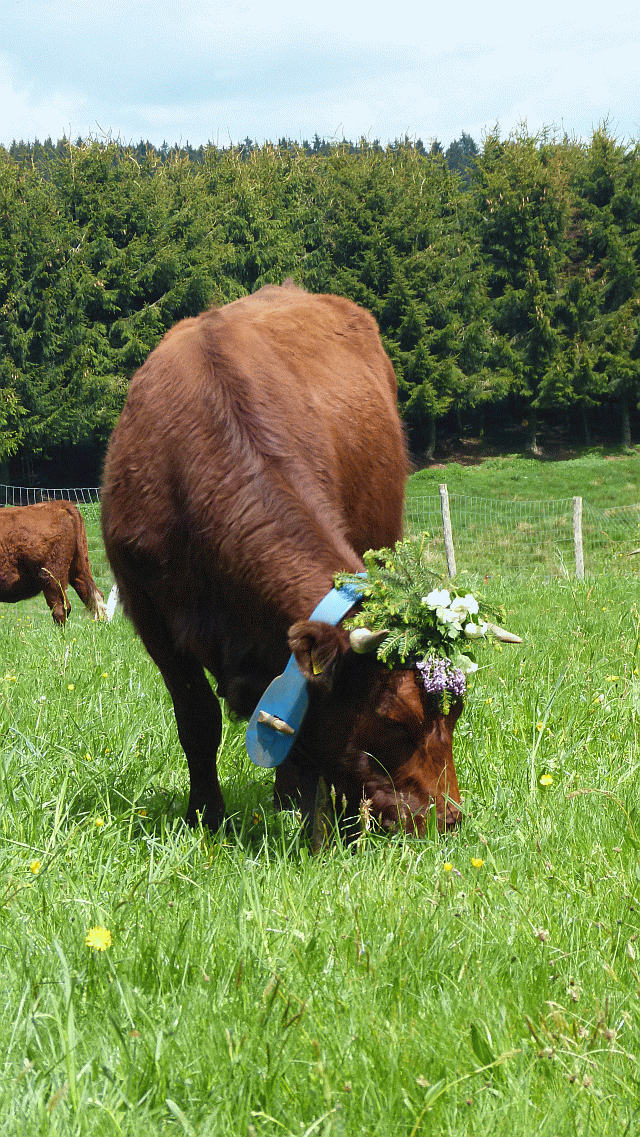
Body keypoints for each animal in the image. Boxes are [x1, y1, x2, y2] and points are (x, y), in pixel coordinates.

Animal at [100, 281, 461, 836]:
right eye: (394, 719)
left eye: (457, 710)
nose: (447, 818)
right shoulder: (151, 617)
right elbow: (197, 719)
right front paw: (206, 817)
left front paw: (310, 821)